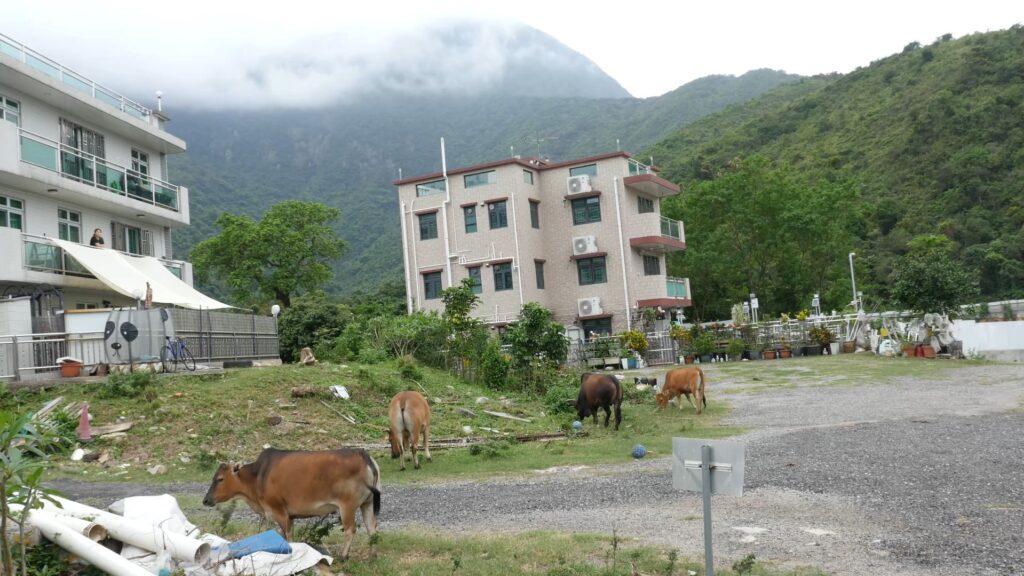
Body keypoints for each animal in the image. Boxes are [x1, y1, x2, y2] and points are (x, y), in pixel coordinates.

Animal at [199, 446, 380, 557]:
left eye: (220, 479)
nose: (206, 500)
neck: (258, 475)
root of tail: (362, 454)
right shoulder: (288, 516)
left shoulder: (279, 511)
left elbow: (287, 536)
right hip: (368, 503)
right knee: (372, 529)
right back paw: (372, 555)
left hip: (347, 506)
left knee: (350, 530)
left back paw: (344, 556)